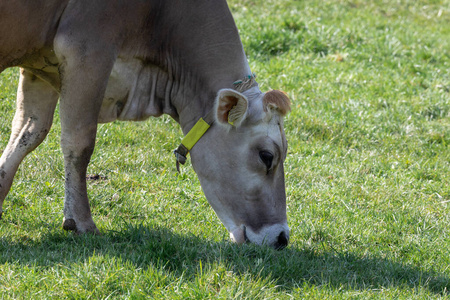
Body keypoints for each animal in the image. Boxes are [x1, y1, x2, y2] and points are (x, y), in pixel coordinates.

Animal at [0, 0, 292, 250]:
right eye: (267, 157)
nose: (281, 238)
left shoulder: (41, 67)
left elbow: (27, 132)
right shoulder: (86, 50)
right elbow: (79, 143)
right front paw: (81, 222)